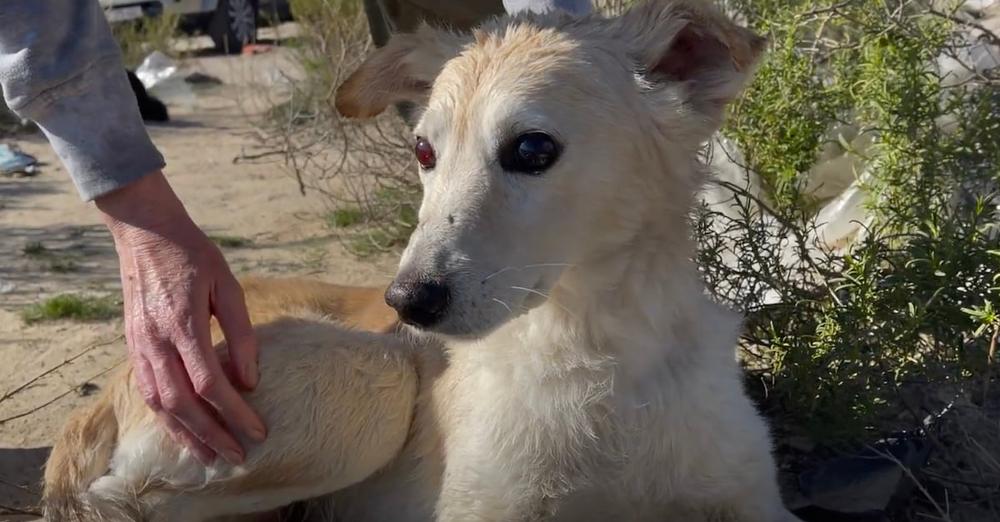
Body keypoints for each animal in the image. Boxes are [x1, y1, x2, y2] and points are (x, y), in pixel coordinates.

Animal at [43, 2, 800, 516]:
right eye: (424, 152)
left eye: (532, 148)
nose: (406, 302)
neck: (603, 357)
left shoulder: (753, 499)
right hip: (374, 380)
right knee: (120, 500)